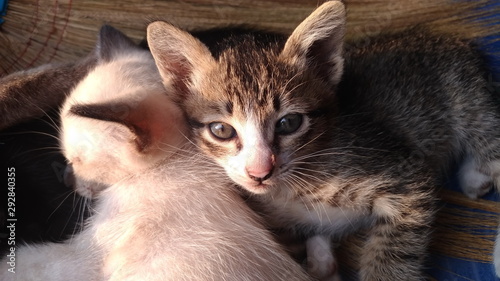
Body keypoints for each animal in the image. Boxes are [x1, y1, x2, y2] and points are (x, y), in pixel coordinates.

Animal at [146, 1, 498, 278]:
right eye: (222, 130)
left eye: (289, 123)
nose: (259, 172)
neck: (286, 191)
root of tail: (449, 39)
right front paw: (321, 258)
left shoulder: (405, 178)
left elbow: (393, 255)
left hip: (467, 100)